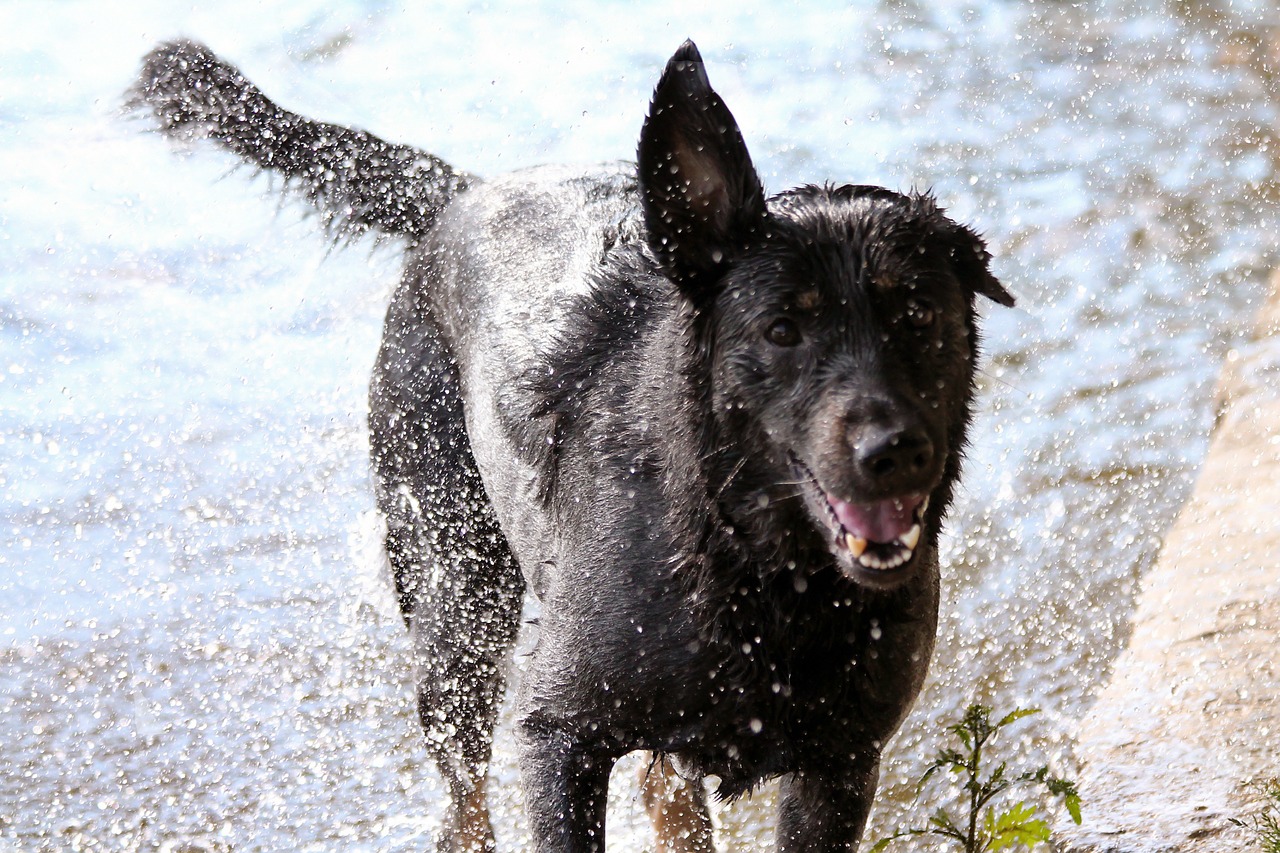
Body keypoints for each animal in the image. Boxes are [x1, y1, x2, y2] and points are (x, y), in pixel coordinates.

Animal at [129, 36, 1008, 845]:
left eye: (918, 314)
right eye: (784, 328)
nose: (894, 451)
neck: (752, 563)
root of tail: (460, 195)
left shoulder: (843, 760)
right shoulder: (561, 732)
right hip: (455, 602)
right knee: (465, 802)